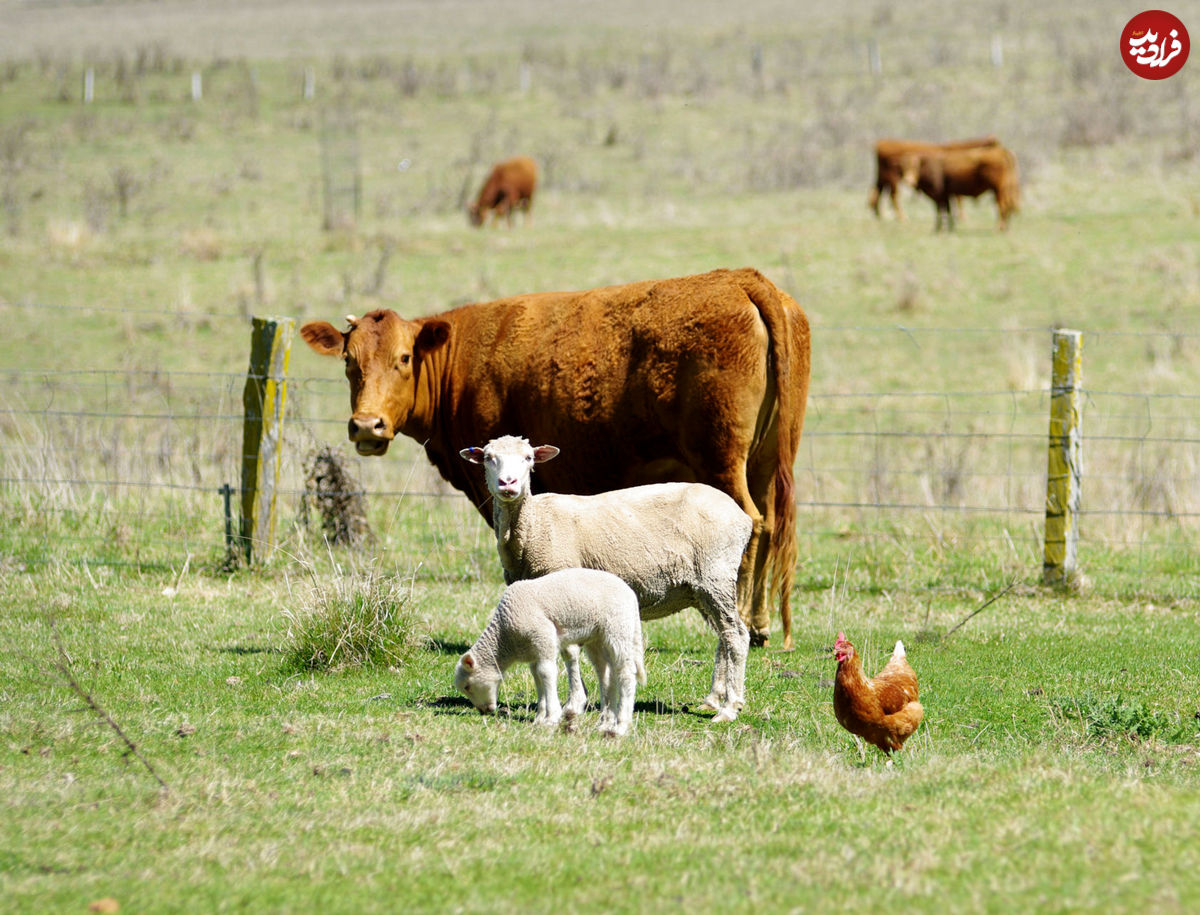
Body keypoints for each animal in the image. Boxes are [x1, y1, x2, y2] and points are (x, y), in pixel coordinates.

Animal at [297, 265, 816, 648]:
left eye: (404, 358)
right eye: (349, 361)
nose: (367, 425)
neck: (461, 360)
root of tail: (741, 279)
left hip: (721, 460)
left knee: (752, 523)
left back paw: (742, 621)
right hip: (767, 459)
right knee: (771, 525)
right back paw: (761, 624)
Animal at [453, 566, 648, 739]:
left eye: (467, 686)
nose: (483, 711)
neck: (505, 639)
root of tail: (631, 596)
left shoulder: (543, 636)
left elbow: (546, 673)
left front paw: (551, 717)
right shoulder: (534, 650)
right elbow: (537, 677)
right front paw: (540, 716)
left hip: (618, 628)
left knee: (625, 674)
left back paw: (620, 726)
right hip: (598, 638)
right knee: (606, 675)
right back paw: (605, 723)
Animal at [458, 434, 748, 720]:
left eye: (528, 458)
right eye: (488, 458)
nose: (508, 483)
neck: (533, 525)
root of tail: (742, 517)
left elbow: (570, 650)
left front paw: (574, 703)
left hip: (716, 575)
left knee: (736, 635)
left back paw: (729, 707)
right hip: (700, 588)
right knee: (723, 636)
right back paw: (712, 700)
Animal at [868, 134, 998, 222]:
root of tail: (881, 143)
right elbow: (958, 198)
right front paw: (962, 217)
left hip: (882, 178)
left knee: (877, 194)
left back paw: (878, 215)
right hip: (892, 178)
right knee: (893, 196)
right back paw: (902, 218)